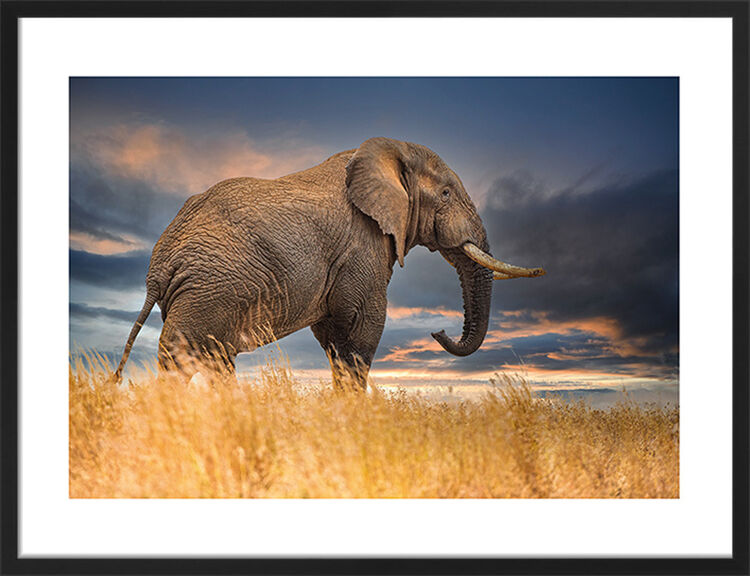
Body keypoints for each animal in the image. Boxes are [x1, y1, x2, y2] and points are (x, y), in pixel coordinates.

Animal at [113, 137, 544, 389]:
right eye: (446, 194)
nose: (438, 331)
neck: (388, 153)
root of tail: (159, 265)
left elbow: (334, 335)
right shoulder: (362, 243)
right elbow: (361, 325)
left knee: (213, 359)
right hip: (210, 286)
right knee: (181, 355)